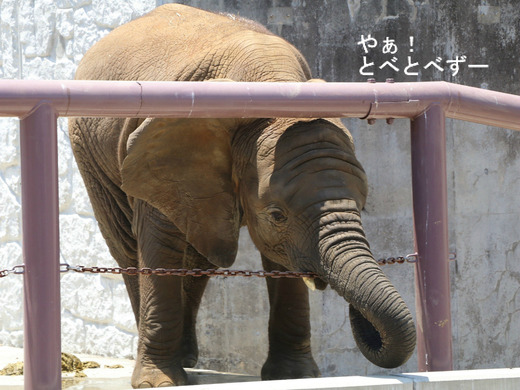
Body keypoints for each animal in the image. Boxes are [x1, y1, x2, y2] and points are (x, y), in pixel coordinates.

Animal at [69, 4, 416, 388]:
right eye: (276, 214)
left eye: (364, 207)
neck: (276, 85)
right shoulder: (160, 153)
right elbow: (161, 246)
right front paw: (158, 382)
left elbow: (279, 258)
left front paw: (294, 377)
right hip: (89, 151)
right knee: (129, 246)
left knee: (200, 254)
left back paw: (187, 357)